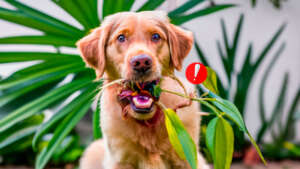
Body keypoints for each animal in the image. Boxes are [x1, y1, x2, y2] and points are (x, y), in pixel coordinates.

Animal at [77, 11, 209, 169]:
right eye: (121, 38)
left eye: (156, 36)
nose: (141, 63)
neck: (147, 121)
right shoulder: (121, 159)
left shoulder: (186, 155)